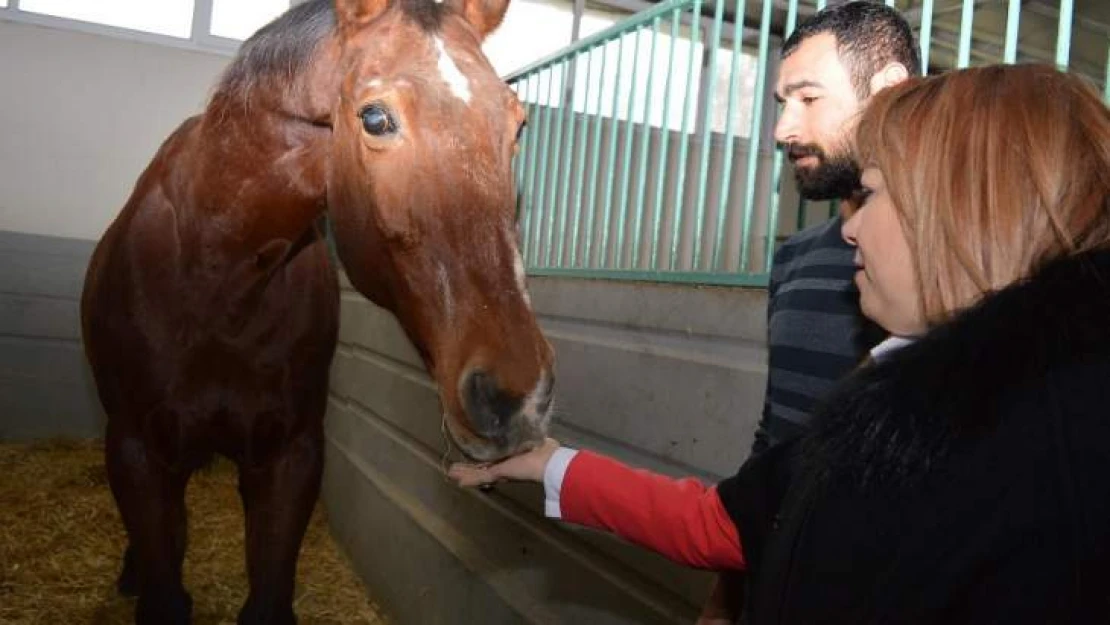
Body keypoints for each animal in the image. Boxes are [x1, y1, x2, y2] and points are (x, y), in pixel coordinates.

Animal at [78, 1, 555, 621]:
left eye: (517, 124)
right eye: (374, 118)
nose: (520, 396)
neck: (218, 279)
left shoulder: (293, 454)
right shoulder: (137, 450)